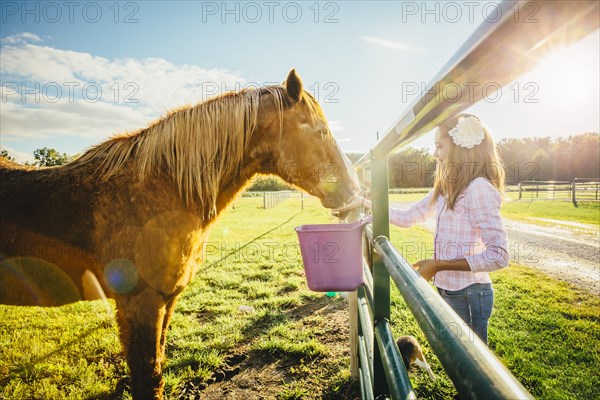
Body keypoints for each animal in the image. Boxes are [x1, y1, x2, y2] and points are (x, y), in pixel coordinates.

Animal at [0, 70, 360, 400]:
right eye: (321, 131)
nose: (354, 190)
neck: (157, 193)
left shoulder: (165, 299)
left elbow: (156, 367)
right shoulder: (140, 303)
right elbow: (147, 378)